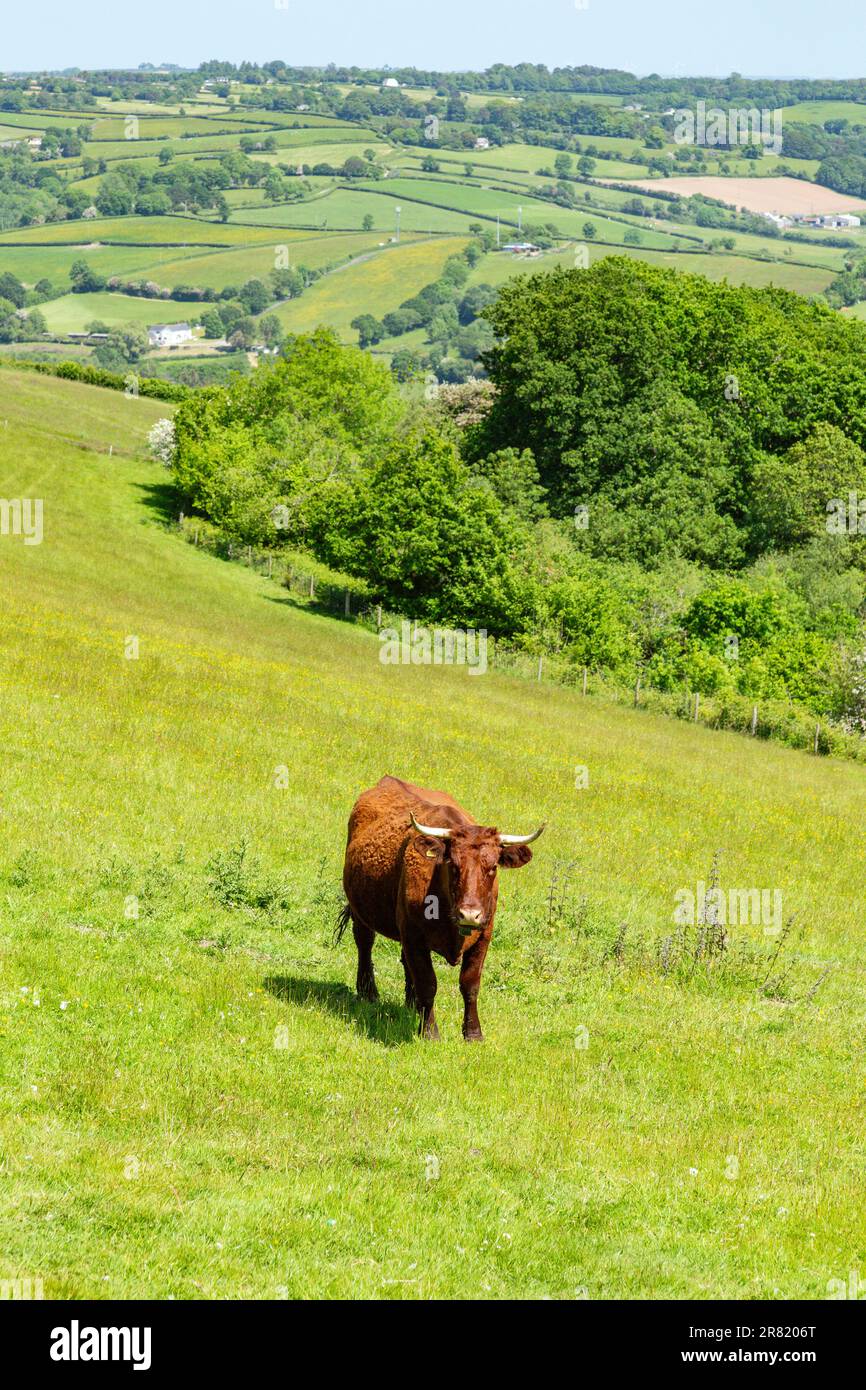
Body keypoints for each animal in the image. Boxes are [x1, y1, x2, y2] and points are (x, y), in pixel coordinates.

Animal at [337, 778, 544, 1039]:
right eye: (453, 865)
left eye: (493, 867)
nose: (470, 915)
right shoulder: (414, 935)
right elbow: (428, 983)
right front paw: (429, 1031)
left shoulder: (484, 935)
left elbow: (470, 984)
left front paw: (473, 1033)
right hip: (360, 911)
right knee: (364, 943)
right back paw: (368, 992)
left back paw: (411, 1003)